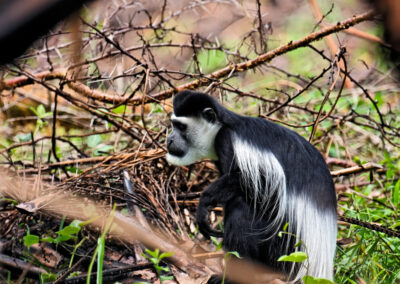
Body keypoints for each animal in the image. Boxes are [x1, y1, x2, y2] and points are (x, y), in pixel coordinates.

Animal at [166, 90, 338, 282]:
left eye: (181, 127)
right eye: (173, 124)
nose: (169, 139)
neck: (223, 126)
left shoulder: (228, 141)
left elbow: (244, 179)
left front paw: (204, 203)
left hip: (284, 248)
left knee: (241, 206)